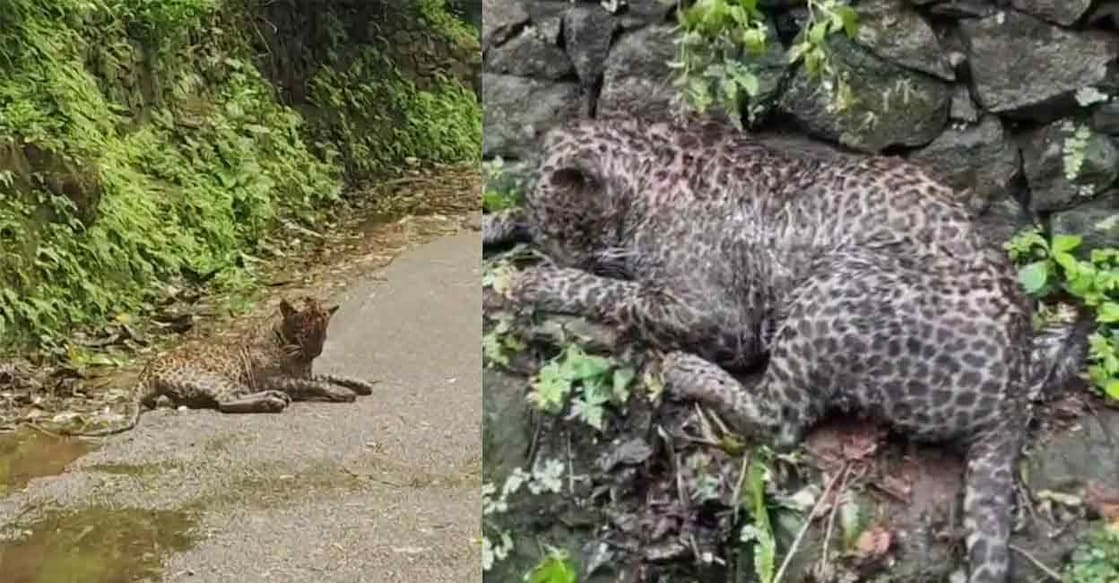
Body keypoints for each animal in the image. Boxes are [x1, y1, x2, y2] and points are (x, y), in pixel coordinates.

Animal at [69, 296, 379, 437]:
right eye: (305, 333)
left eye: (324, 333)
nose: (317, 350)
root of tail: (147, 368)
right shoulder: (277, 378)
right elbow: (315, 383)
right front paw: (341, 392)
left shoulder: (303, 372)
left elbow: (329, 374)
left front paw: (359, 383)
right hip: (217, 378)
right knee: (226, 404)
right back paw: (273, 401)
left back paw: (274, 400)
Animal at [490, 117, 1092, 583]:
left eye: (569, 234)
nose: (562, 254)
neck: (647, 169)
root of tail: (1014, 391)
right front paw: (499, 222)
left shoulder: (717, 319)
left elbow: (618, 294)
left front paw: (542, 281)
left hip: (836, 286)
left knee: (780, 421)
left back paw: (687, 371)